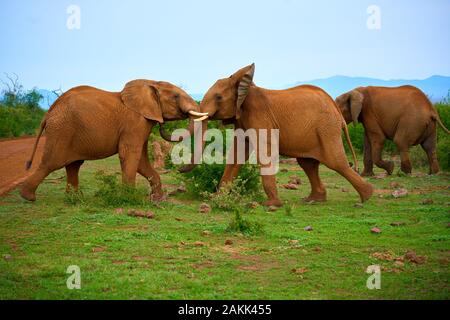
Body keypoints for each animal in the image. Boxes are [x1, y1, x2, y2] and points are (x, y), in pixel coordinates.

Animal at [18, 79, 206, 201]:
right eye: (176, 97)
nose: (180, 169)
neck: (151, 82)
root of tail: (49, 111)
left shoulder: (142, 124)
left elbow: (141, 160)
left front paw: (158, 199)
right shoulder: (135, 122)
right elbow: (130, 155)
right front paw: (129, 198)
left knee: (73, 165)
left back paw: (75, 199)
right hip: (62, 130)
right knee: (51, 163)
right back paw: (28, 197)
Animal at [192, 64, 374, 208]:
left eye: (218, 97)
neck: (245, 87)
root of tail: (337, 110)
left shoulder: (258, 115)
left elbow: (264, 151)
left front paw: (270, 205)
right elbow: (237, 154)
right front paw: (216, 199)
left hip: (326, 129)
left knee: (336, 162)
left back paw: (367, 197)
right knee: (308, 164)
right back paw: (312, 200)